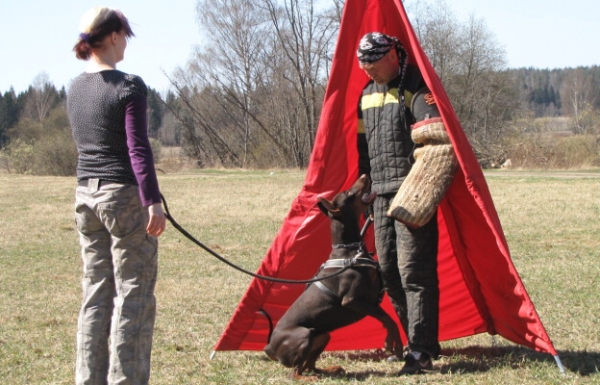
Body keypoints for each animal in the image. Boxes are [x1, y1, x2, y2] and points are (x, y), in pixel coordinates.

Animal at [264, 176, 400, 380]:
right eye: (348, 193)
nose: (364, 176)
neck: (349, 250)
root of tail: (270, 347)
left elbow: (390, 319)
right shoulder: (353, 300)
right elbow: (388, 319)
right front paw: (392, 344)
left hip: (322, 335)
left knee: (309, 365)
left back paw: (330, 370)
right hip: (304, 336)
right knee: (295, 372)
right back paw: (309, 378)